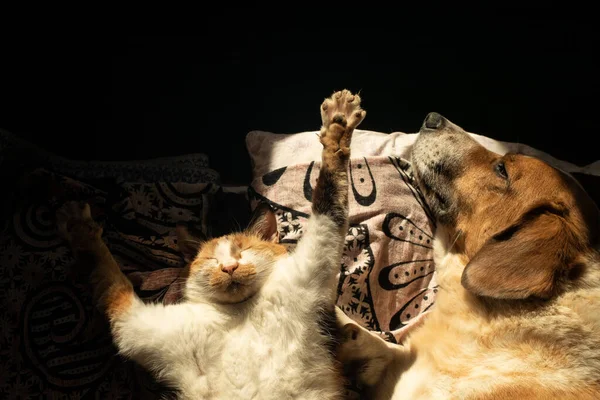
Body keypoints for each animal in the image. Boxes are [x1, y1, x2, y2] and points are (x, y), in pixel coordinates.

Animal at [56, 89, 366, 398]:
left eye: (244, 250)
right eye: (211, 260)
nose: (228, 267)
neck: (238, 312)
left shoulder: (313, 258)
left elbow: (329, 198)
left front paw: (337, 128)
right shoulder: (138, 325)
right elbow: (110, 280)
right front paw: (80, 226)